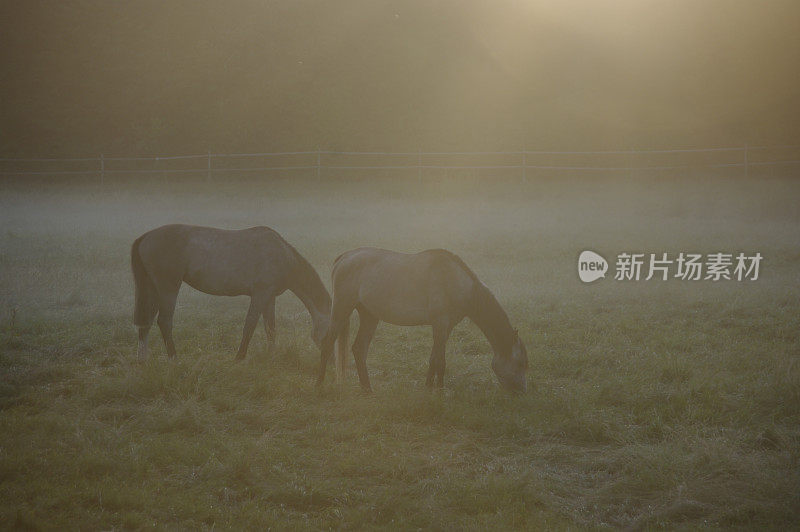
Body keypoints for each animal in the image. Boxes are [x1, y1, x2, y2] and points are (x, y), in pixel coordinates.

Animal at [131, 224, 332, 362]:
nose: (329, 360)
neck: (283, 255)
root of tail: (146, 237)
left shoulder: (269, 297)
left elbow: (271, 328)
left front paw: (271, 356)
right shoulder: (260, 294)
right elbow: (250, 325)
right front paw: (239, 357)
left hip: (152, 288)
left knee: (146, 322)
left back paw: (142, 361)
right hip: (168, 288)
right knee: (164, 321)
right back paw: (174, 358)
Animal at [316, 247, 528, 392]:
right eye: (520, 363)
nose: (520, 391)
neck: (458, 283)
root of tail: (344, 257)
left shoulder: (445, 327)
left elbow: (436, 359)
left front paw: (431, 388)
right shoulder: (440, 324)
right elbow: (439, 361)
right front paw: (437, 391)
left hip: (369, 316)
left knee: (359, 349)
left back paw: (368, 389)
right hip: (342, 308)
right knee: (327, 343)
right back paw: (320, 385)